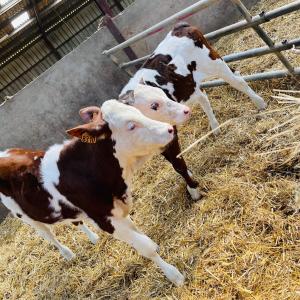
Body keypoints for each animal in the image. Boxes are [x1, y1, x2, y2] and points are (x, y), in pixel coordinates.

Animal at [0, 100, 184, 286]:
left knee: (76, 221)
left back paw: (93, 238)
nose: (169, 129)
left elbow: (137, 231)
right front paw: (174, 276)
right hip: (25, 217)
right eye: (131, 126)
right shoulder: (104, 219)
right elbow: (146, 248)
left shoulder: (113, 209)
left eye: (136, 111)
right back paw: (67, 253)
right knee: (47, 235)